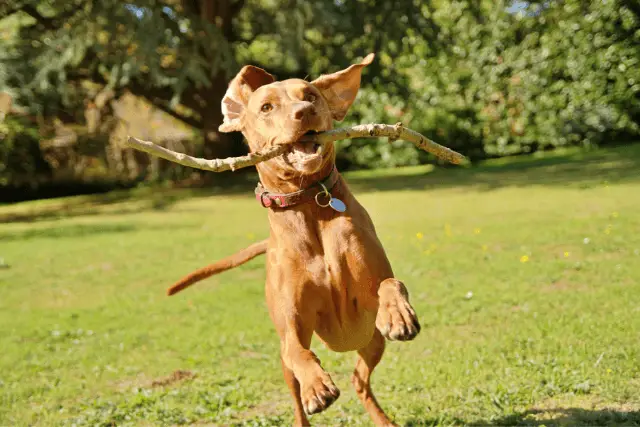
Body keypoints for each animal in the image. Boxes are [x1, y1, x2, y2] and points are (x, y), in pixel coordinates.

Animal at [169, 55, 420, 426]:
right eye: (266, 107)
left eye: (311, 96)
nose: (305, 111)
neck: (308, 203)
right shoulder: (292, 328)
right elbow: (297, 350)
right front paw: (317, 386)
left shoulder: (366, 296)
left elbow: (391, 283)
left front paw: (398, 313)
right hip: (288, 371)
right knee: (298, 397)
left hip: (372, 341)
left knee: (359, 380)